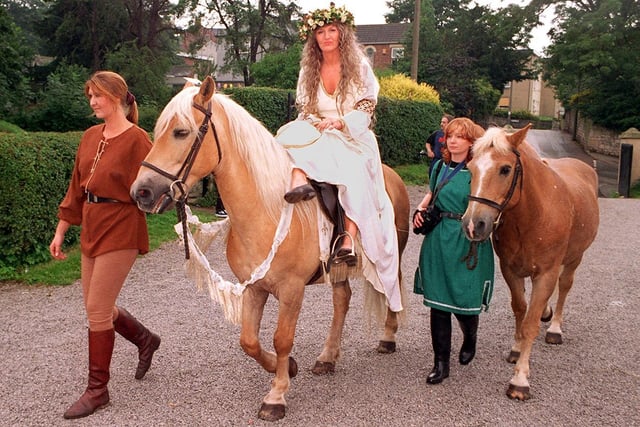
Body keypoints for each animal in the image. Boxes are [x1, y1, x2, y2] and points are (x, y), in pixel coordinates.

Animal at [130, 77, 410, 422]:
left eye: (181, 132)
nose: (141, 191)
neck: (267, 207)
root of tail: (392, 176)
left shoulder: (291, 291)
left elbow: (281, 338)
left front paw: (276, 395)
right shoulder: (254, 287)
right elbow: (249, 341)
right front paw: (288, 368)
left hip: (391, 255)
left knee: (393, 287)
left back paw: (388, 336)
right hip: (338, 268)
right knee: (342, 301)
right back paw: (328, 357)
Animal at [462, 123, 596, 402]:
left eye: (505, 169)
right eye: (470, 168)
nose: (473, 224)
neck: (532, 215)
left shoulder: (546, 273)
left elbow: (531, 322)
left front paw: (520, 378)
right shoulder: (510, 270)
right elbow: (520, 309)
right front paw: (516, 348)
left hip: (574, 259)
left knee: (564, 287)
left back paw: (555, 327)